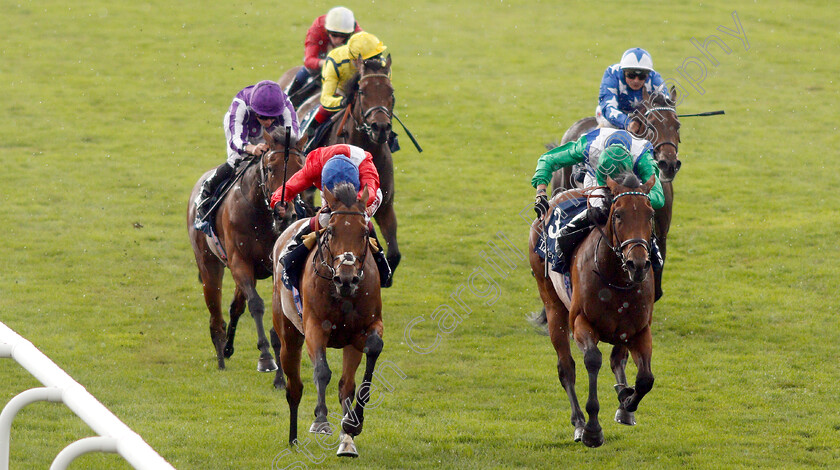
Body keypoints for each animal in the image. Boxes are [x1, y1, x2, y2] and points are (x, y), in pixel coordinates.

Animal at [187, 127, 308, 370]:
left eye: (299, 169)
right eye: (270, 168)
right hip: (208, 265)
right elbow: (256, 304)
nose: (285, 213)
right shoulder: (239, 261)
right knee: (215, 313)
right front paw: (266, 357)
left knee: (235, 306)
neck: (261, 214)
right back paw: (220, 355)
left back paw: (227, 348)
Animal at [272, 182, 384, 458]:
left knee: (346, 385)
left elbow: (373, 350)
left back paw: (347, 441)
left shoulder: (364, 330)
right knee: (294, 387)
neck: (342, 295)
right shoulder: (314, 329)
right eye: (331, 231)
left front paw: (353, 425)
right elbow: (322, 371)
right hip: (289, 335)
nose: (347, 278)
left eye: (364, 232)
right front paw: (321, 420)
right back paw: (293, 439)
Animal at [532, 173, 664, 448]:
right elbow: (592, 360)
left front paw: (627, 400)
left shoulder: (639, 329)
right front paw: (593, 430)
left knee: (618, 358)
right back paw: (579, 423)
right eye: (618, 214)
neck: (616, 278)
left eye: (650, 215)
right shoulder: (581, 323)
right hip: (553, 307)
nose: (637, 264)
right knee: (566, 368)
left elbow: (645, 379)